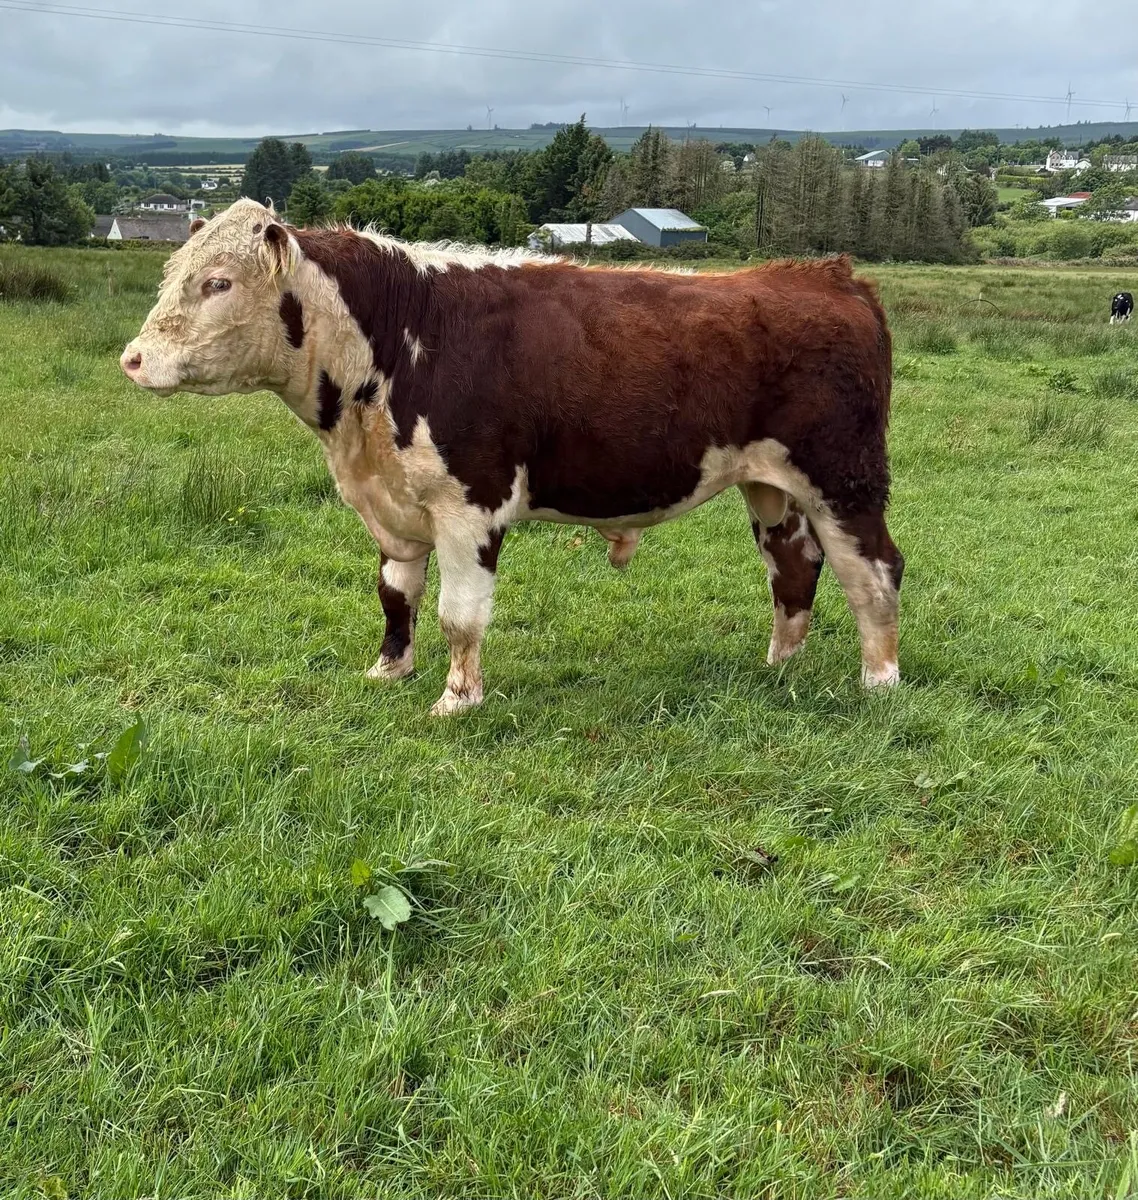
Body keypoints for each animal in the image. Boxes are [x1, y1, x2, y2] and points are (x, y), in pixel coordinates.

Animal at [121, 199, 903, 716]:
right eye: (172, 274)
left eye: (219, 282)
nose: (132, 358)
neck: (399, 338)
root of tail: (823, 276)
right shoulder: (392, 506)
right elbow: (395, 596)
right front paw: (389, 671)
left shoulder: (472, 503)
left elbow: (458, 614)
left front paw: (456, 700)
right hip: (770, 486)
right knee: (794, 566)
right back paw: (779, 667)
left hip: (845, 478)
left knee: (872, 571)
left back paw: (880, 681)